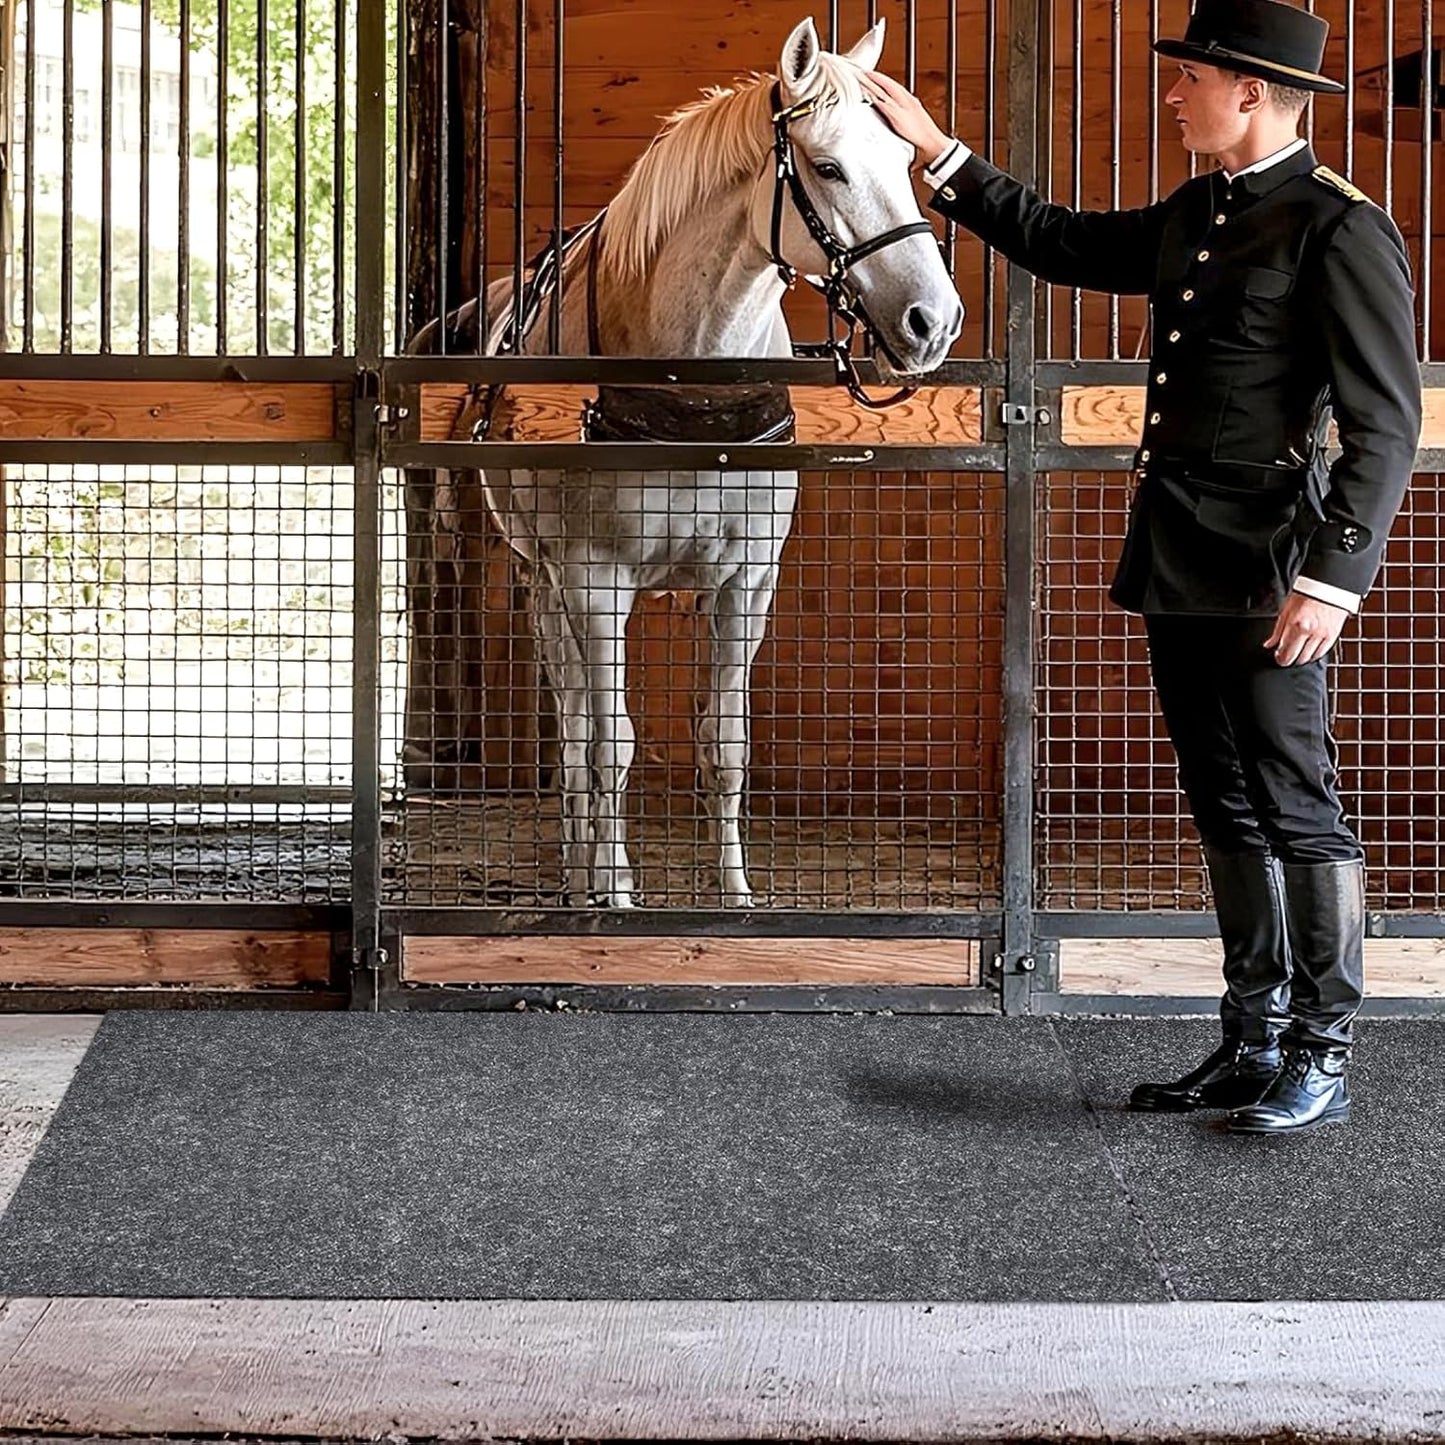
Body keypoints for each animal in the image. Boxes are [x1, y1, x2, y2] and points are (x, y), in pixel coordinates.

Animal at [413, 16, 963, 907]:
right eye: (828, 167)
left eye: (904, 161)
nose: (931, 321)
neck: (692, 382)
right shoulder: (593, 580)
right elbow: (611, 745)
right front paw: (614, 892)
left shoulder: (747, 582)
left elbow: (726, 743)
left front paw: (734, 898)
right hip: (544, 581)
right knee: (575, 728)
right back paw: (580, 876)